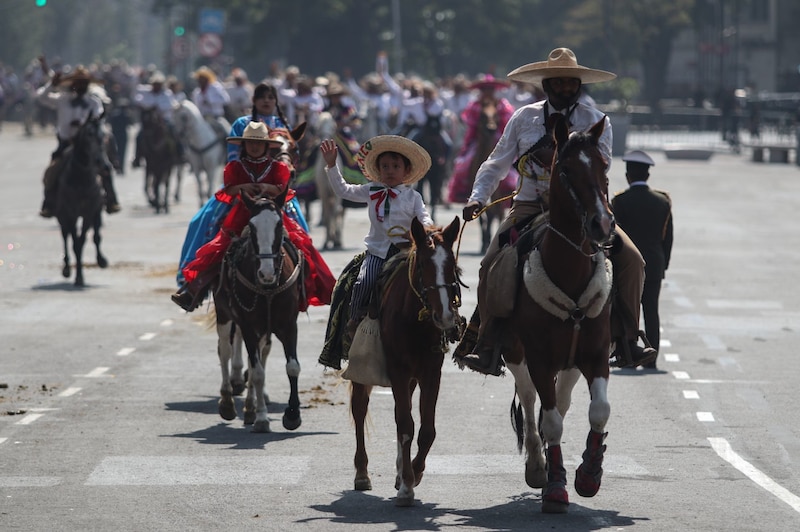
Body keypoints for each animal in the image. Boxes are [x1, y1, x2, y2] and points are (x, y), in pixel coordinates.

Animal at [212, 191, 304, 432]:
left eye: (279, 224)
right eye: (252, 227)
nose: (266, 273)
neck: (268, 289)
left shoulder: (289, 324)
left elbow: (292, 367)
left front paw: (292, 414)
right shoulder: (248, 326)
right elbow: (258, 372)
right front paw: (262, 418)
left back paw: (250, 406)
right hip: (224, 314)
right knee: (225, 350)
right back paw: (228, 401)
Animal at [350, 216, 462, 508]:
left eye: (452, 266)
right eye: (422, 264)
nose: (445, 316)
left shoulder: (430, 373)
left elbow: (425, 430)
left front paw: (413, 474)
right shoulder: (398, 371)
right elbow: (405, 424)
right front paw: (407, 488)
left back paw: (401, 470)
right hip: (362, 373)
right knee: (360, 410)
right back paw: (362, 473)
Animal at [506, 116, 612, 516]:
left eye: (604, 166)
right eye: (565, 170)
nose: (602, 224)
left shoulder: (595, 354)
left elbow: (599, 410)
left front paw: (588, 474)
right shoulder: (537, 357)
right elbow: (549, 422)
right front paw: (554, 487)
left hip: (569, 364)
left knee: (563, 401)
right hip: (516, 354)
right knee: (530, 399)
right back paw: (538, 466)